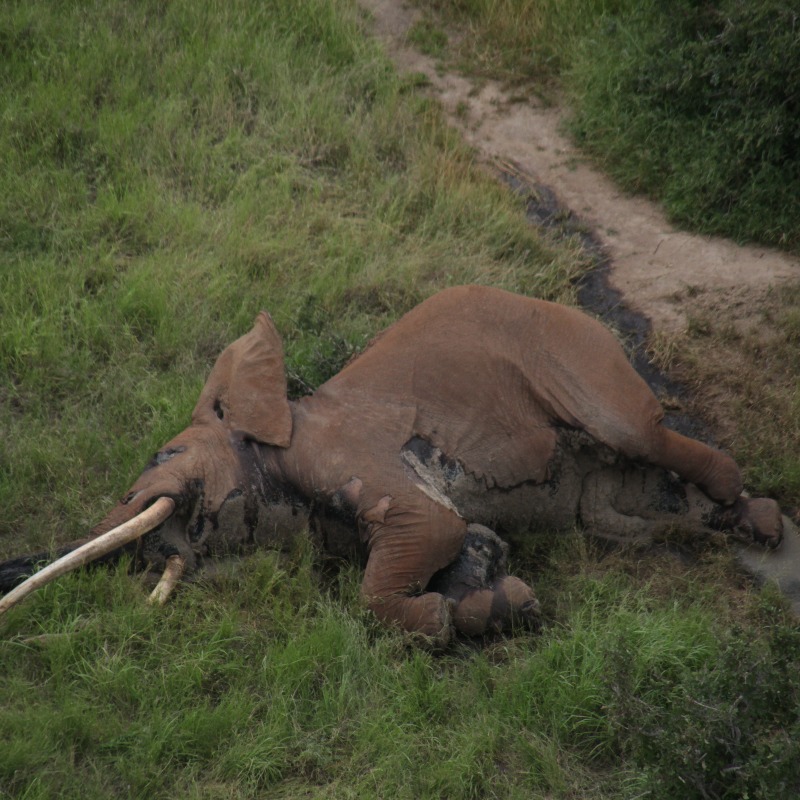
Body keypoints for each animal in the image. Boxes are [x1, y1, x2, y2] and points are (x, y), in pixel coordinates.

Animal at [0, 286, 783, 647]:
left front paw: (454, 615)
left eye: (160, 457)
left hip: (577, 355)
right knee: (620, 517)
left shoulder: (345, 454)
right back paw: (732, 525)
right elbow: (467, 541)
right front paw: (500, 602)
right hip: (603, 500)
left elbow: (429, 532)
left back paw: (759, 520)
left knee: (639, 432)